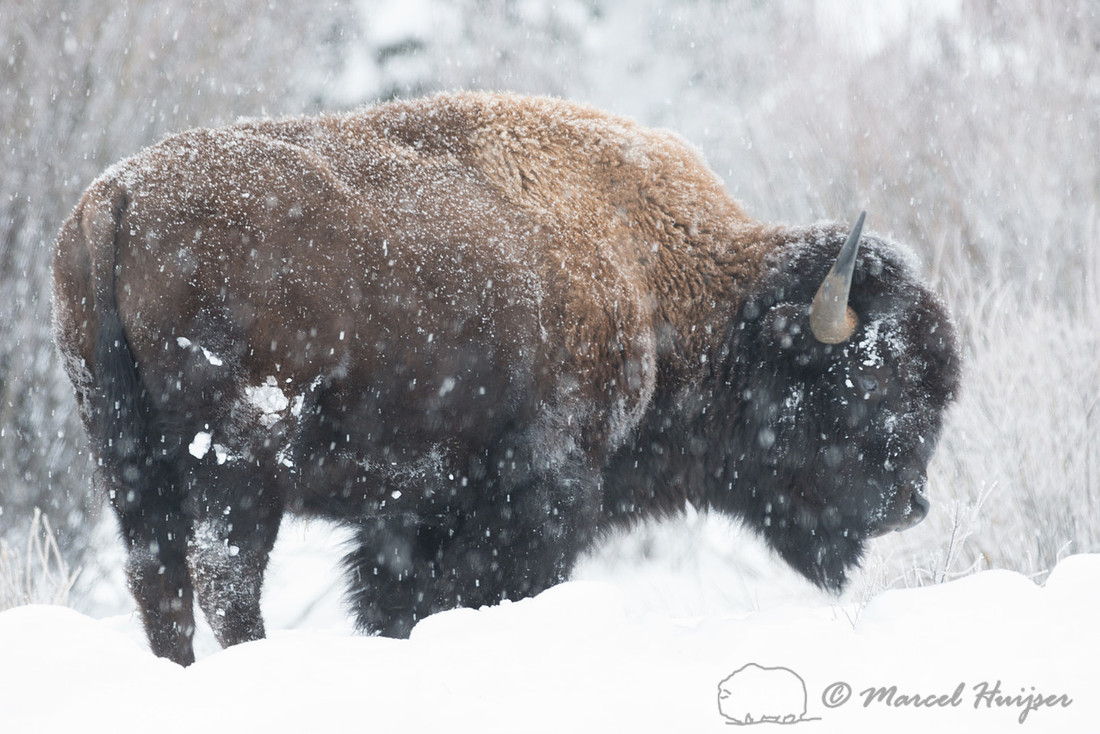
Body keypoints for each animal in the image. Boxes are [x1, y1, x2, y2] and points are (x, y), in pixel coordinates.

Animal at [52, 92, 960, 666]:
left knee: (160, 582)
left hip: (126, 462)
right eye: (870, 386)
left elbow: (394, 603)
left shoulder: (412, 516)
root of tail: (114, 200)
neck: (658, 276)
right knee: (224, 580)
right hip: (236, 469)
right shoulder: (541, 496)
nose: (910, 504)